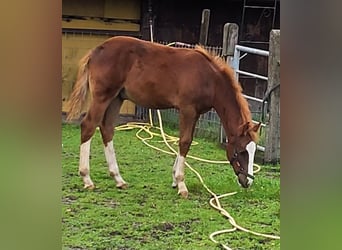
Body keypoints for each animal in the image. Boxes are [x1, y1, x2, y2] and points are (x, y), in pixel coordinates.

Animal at [66, 36, 260, 198]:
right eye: (241, 151)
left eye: (253, 151)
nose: (247, 182)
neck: (209, 79)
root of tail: (96, 50)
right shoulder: (187, 109)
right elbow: (184, 142)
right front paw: (181, 185)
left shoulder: (195, 113)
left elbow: (185, 140)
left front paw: (175, 180)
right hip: (103, 96)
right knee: (89, 125)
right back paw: (87, 179)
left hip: (116, 98)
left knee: (107, 129)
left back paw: (118, 179)